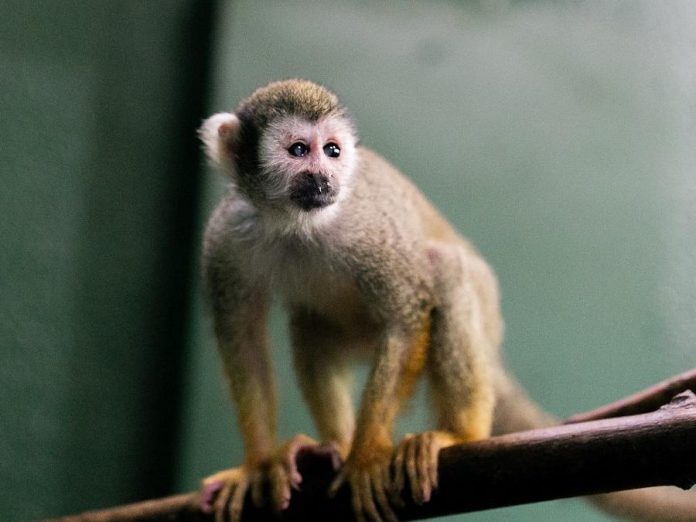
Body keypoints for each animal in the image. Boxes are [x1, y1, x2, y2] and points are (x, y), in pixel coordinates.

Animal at [197, 78, 696, 520]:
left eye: (332, 151)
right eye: (299, 150)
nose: (323, 179)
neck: (297, 223)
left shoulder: (369, 231)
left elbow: (406, 315)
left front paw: (367, 456)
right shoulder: (227, 236)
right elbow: (240, 336)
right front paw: (259, 464)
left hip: (482, 310)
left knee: (445, 271)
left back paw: (457, 434)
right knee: (311, 327)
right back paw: (334, 444)